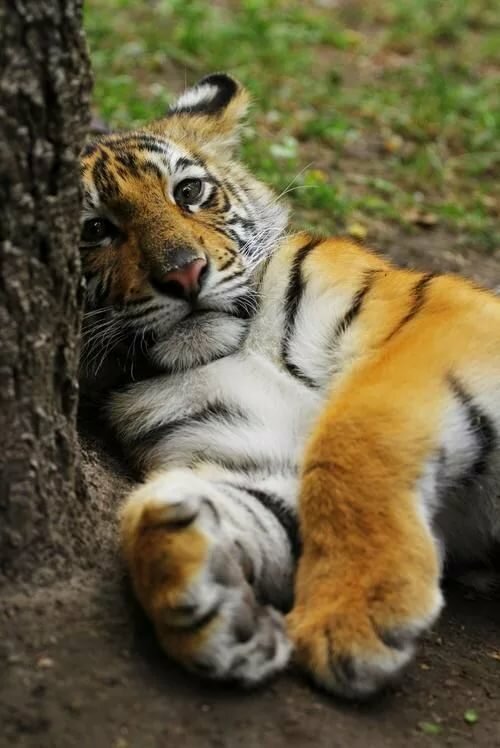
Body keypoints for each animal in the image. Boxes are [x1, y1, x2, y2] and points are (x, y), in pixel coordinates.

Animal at [80, 73, 500, 699]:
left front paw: (349, 620)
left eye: (189, 192)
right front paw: (212, 611)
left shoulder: (442, 320)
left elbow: (353, 439)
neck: (235, 344)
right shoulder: (259, 460)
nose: (185, 274)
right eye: (96, 230)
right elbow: (207, 515)